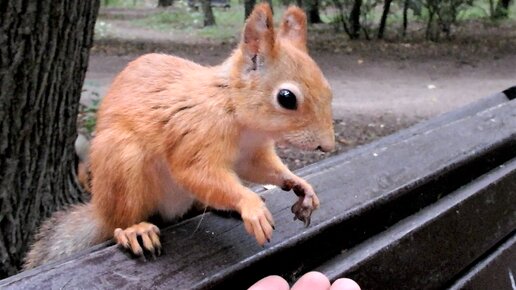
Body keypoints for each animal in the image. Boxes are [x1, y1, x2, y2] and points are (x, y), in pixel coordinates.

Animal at [23, 3, 334, 268]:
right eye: (286, 98)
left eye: (328, 88)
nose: (327, 146)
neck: (237, 114)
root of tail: (100, 209)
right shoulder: (195, 133)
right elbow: (194, 172)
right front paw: (250, 205)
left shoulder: (251, 154)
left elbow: (262, 168)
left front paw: (299, 184)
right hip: (121, 161)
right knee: (118, 221)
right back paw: (135, 230)